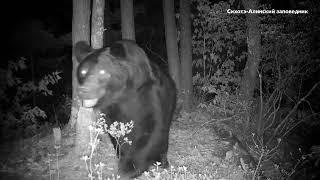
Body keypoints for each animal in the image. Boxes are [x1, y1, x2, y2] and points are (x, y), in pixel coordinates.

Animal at [74, 39, 178, 179]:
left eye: (102, 72)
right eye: (82, 72)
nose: (83, 91)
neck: (123, 94)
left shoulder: (149, 95)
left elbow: (151, 130)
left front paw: (129, 168)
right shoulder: (112, 108)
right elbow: (115, 132)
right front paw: (122, 156)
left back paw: (163, 162)